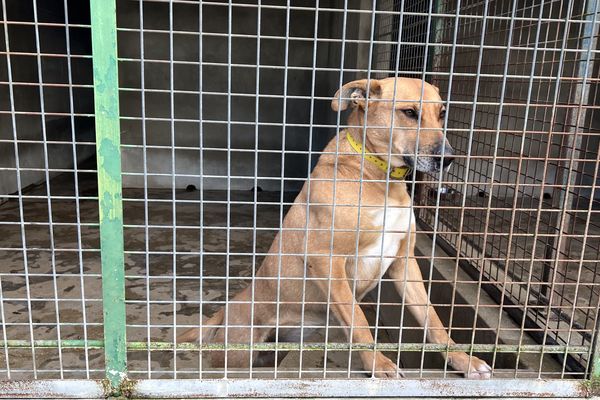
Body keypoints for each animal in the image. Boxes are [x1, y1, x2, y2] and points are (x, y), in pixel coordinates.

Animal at [180, 77, 494, 378]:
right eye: (409, 113)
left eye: (441, 114)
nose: (448, 158)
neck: (377, 178)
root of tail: (228, 307)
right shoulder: (326, 260)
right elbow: (357, 320)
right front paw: (377, 364)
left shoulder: (404, 263)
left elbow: (433, 319)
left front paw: (463, 360)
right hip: (234, 357)